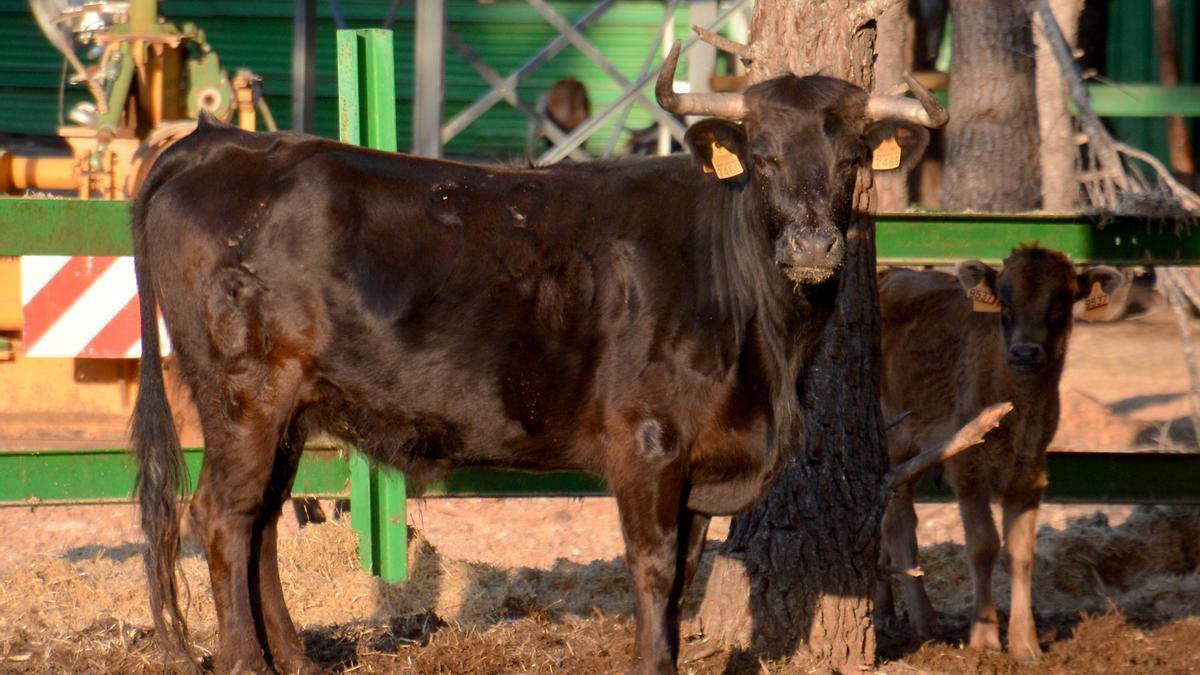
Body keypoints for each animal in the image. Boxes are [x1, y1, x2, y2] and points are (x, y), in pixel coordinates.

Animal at [129, 44, 936, 667]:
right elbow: (653, 567)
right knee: (222, 516)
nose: (813, 245)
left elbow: (685, 572)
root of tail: (222, 141)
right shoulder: (650, 445)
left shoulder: (698, 462)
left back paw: (292, 657)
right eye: (763, 159)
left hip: (290, 410)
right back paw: (244, 660)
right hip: (244, 395)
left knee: (261, 520)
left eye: (852, 160)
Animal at [873, 242, 1123, 658]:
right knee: (899, 527)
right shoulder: (968, 471)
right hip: (894, 449)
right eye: (1005, 304)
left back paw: (883, 615)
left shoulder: (1029, 475)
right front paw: (985, 639)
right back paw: (925, 623)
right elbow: (983, 545)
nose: (1025, 352)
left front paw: (1026, 645)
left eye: (1061, 302)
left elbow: (1021, 551)